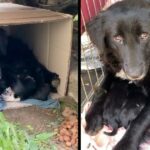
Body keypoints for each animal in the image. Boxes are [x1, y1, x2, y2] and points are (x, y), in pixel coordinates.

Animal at [85, 0, 150, 150]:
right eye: (117, 38)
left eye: (145, 35)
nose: (134, 74)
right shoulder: (111, 70)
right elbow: (102, 90)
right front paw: (93, 117)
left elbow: (140, 121)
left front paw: (126, 144)